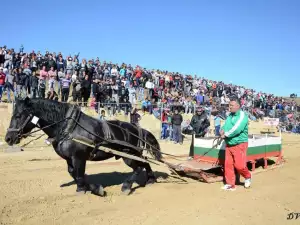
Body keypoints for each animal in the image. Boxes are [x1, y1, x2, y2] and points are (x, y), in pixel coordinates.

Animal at [4, 97, 162, 196]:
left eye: (18, 115)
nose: (8, 138)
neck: (67, 127)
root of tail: (138, 129)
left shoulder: (78, 157)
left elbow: (79, 174)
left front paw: (84, 190)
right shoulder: (69, 159)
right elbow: (74, 173)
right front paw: (93, 188)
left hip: (129, 156)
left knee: (138, 167)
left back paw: (126, 186)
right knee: (145, 163)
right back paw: (150, 180)